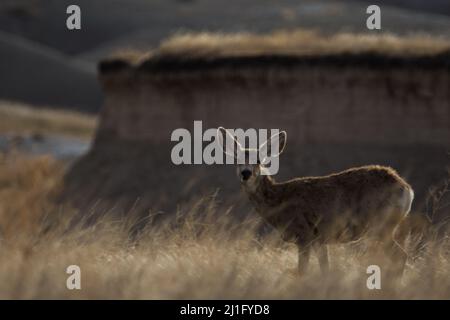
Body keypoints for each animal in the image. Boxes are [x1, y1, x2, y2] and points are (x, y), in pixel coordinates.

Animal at [218, 126, 414, 276]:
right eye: (236, 159)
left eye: (258, 160)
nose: (245, 173)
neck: (280, 200)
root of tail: (406, 189)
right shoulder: (320, 239)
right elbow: (325, 269)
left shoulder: (304, 234)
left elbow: (302, 271)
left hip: (381, 224)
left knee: (400, 255)